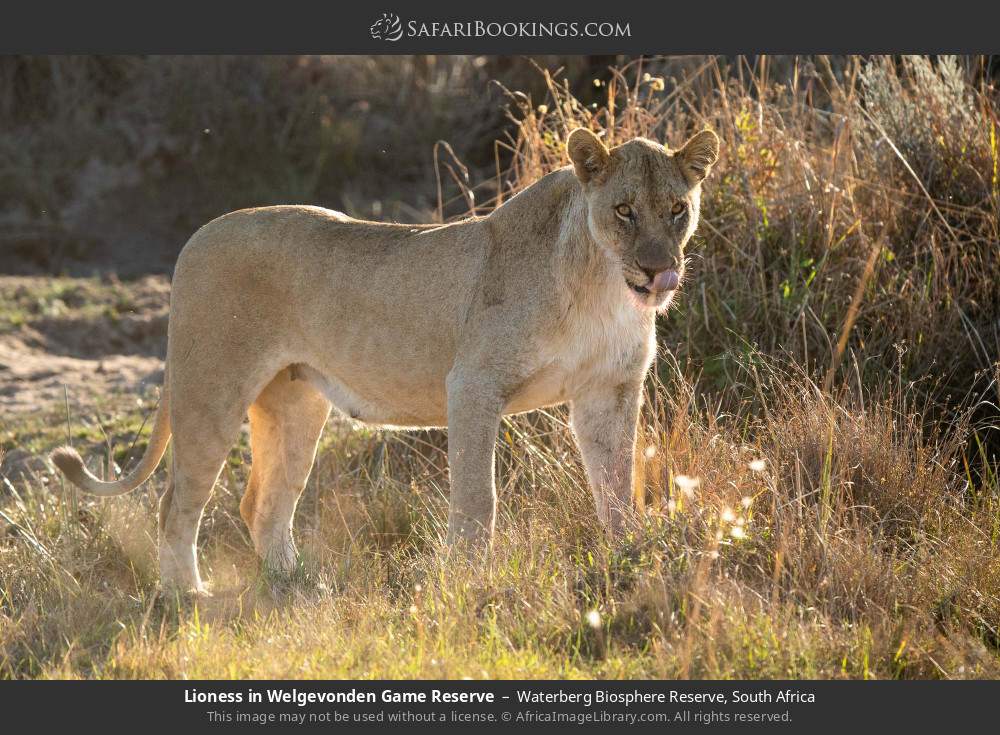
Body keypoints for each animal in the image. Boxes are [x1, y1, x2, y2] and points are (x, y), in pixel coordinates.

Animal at [51, 127, 720, 593]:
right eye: (624, 210)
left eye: (677, 210)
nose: (659, 269)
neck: (604, 288)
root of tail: (198, 235)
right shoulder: (471, 385)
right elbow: (478, 500)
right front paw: (468, 581)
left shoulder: (609, 390)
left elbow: (617, 487)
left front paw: (632, 558)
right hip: (210, 390)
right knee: (177, 502)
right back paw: (187, 597)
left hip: (295, 402)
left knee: (263, 505)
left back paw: (299, 588)